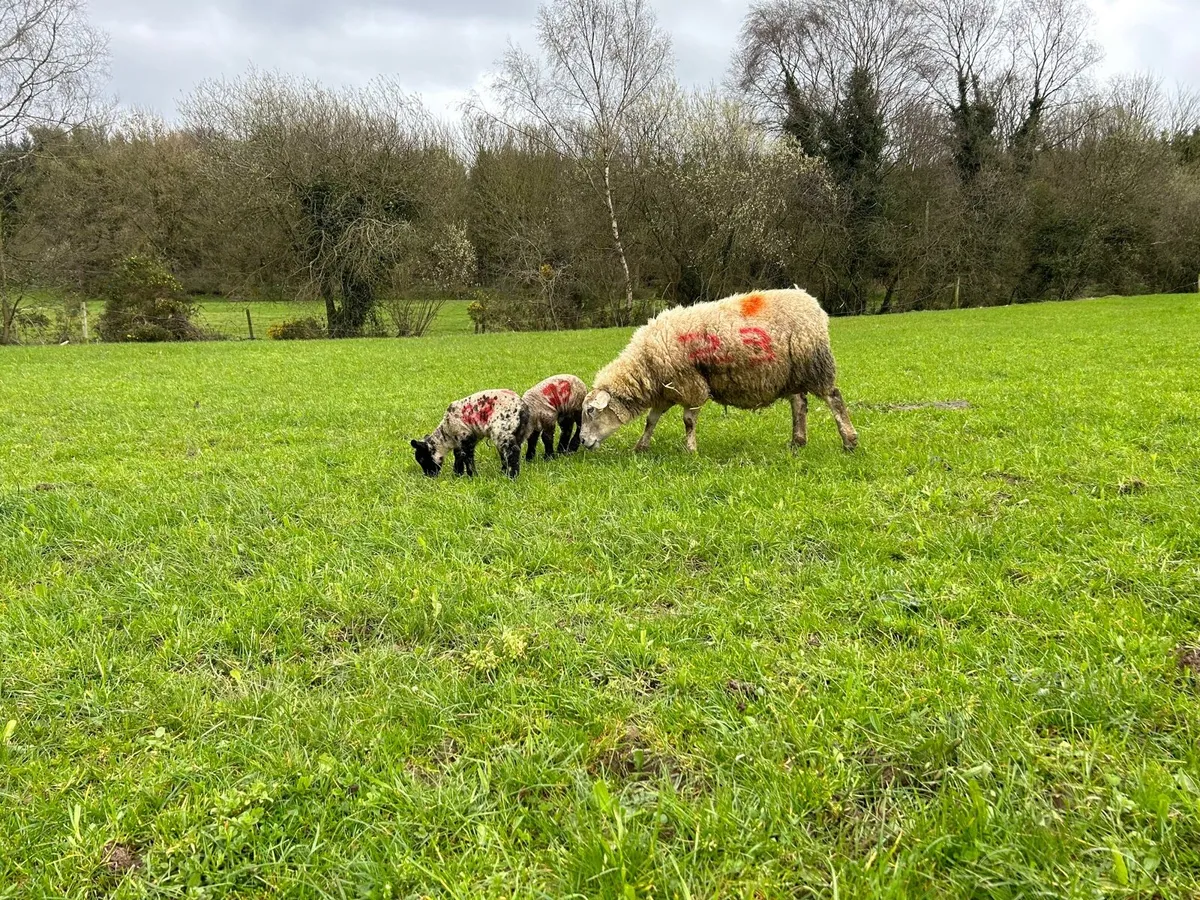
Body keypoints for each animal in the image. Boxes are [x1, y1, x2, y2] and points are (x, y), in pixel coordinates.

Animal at [579, 288, 858, 454]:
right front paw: (641, 446)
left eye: (591, 411)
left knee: (833, 398)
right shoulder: (666, 391)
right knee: (799, 404)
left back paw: (849, 440)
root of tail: (813, 304)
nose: (581, 441)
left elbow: (688, 420)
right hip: (790, 374)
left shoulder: (690, 385)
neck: (645, 365)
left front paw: (690, 450)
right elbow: (651, 420)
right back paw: (797, 442)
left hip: (814, 365)